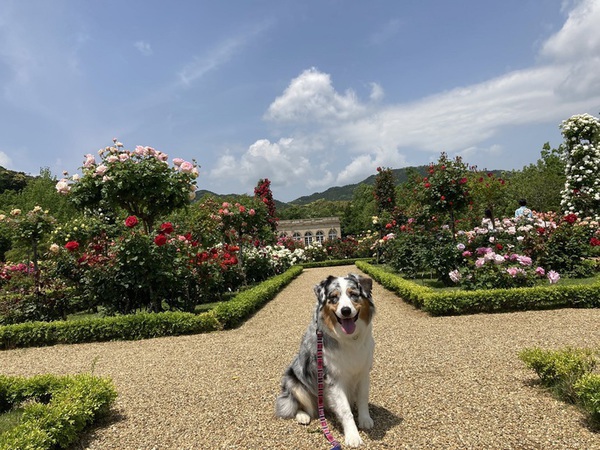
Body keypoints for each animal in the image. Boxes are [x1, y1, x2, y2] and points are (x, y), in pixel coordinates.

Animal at [276, 274, 376, 446]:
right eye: (333, 297)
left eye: (353, 294)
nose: (345, 310)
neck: (349, 339)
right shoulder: (333, 378)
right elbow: (345, 410)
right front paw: (353, 436)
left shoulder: (363, 372)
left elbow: (363, 398)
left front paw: (365, 420)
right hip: (294, 382)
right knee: (295, 405)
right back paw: (303, 416)